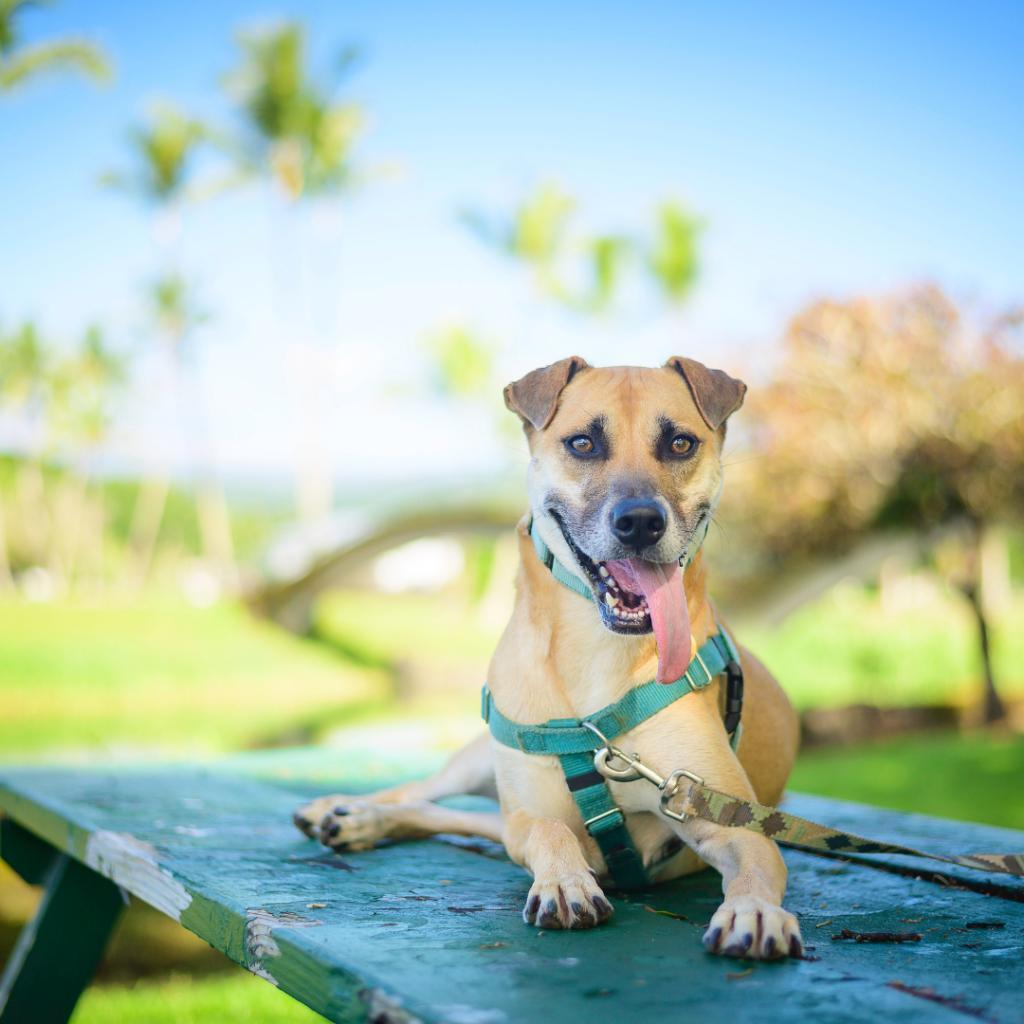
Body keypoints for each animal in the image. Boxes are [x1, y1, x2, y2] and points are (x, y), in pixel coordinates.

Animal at [292, 358, 802, 958]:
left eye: (680, 443)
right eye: (582, 443)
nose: (640, 521)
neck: (597, 653)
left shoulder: (722, 815)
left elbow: (757, 866)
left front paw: (755, 911)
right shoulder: (528, 815)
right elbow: (549, 829)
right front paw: (563, 881)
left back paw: (360, 821)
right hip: (481, 762)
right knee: (423, 791)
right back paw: (345, 809)